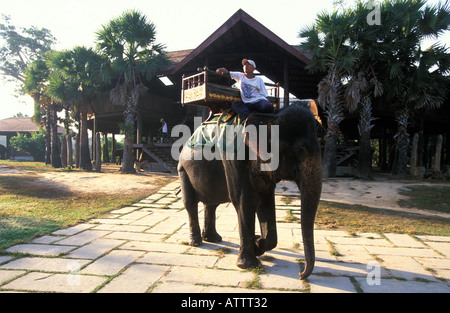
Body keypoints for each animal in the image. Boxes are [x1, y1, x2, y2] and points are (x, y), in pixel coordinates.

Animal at [178, 105, 322, 278]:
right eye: (299, 150)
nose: (300, 275)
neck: (267, 117)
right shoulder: (233, 159)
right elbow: (243, 203)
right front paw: (249, 263)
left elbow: (266, 202)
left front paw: (258, 245)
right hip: (183, 169)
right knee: (191, 204)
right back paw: (196, 242)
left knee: (211, 204)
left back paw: (214, 239)